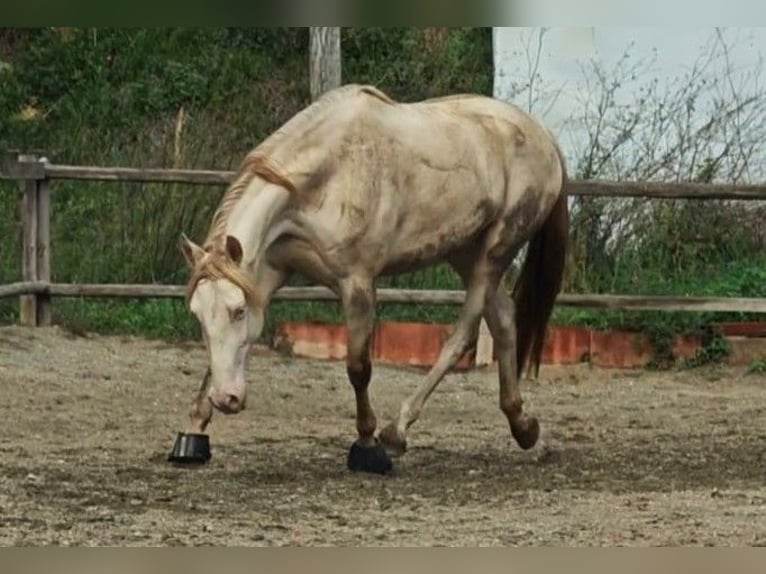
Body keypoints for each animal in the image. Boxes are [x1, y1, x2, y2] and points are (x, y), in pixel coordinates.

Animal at [182, 83, 568, 474]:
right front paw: (194, 432)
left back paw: (397, 432)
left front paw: (368, 447)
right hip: (466, 252)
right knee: (504, 320)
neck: (326, 175)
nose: (226, 399)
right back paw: (524, 427)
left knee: (464, 334)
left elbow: (358, 367)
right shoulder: (270, 272)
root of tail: (544, 137)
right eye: (197, 314)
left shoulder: (357, 282)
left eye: (238, 311)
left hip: (495, 252)